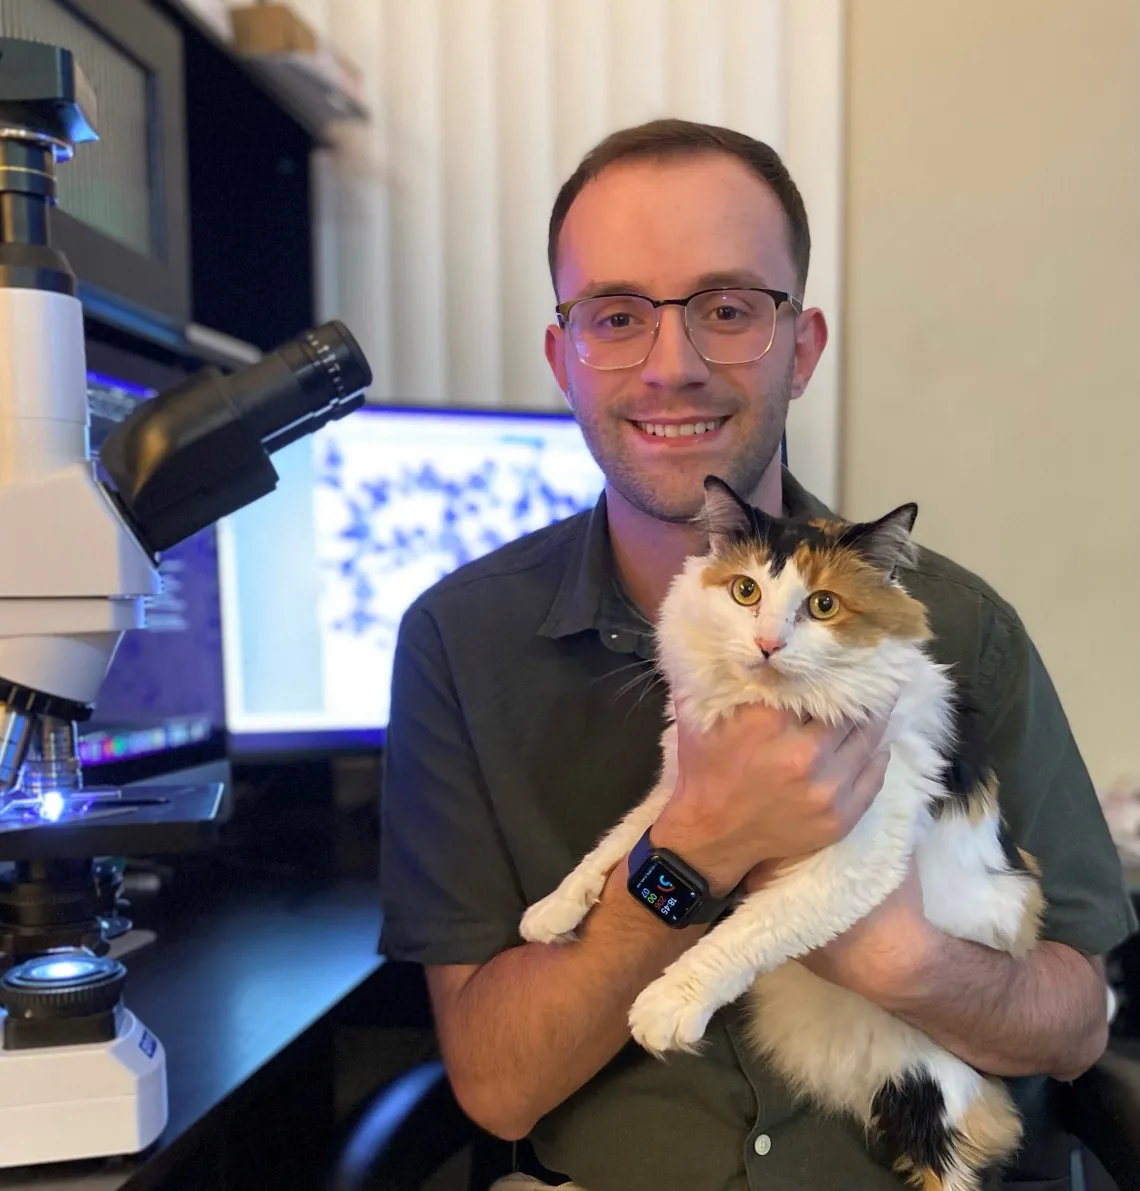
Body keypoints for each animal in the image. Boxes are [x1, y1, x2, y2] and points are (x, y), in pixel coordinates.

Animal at [519, 474, 1043, 1191]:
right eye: (746, 591)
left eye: (823, 605)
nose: (768, 643)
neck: (771, 711)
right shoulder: (680, 785)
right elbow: (624, 840)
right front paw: (553, 910)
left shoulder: (855, 859)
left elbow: (746, 931)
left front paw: (666, 1005)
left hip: (940, 1103)